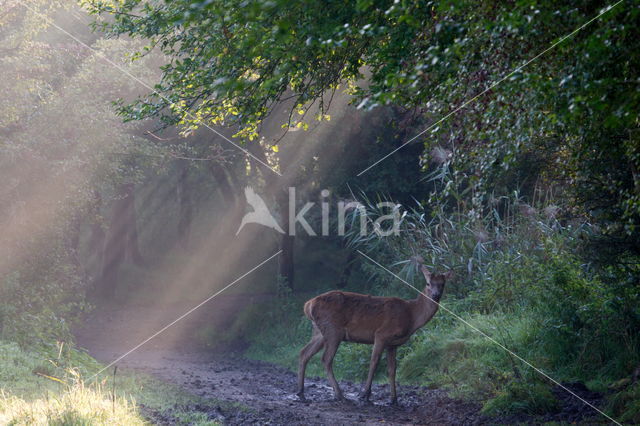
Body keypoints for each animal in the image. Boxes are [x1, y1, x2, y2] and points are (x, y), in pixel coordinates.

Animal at [298, 266, 452, 402]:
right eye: (428, 283)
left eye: (442, 284)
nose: (435, 295)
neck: (411, 315)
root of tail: (308, 305)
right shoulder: (381, 334)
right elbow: (374, 362)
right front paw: (365, 394)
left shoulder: (393, 344)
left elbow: (392, 369)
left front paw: (394, 399)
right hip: (333, 329)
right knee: (326, 359)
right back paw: (340, 395)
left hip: (319, 331)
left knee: (304, 352)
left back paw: (301, 393)